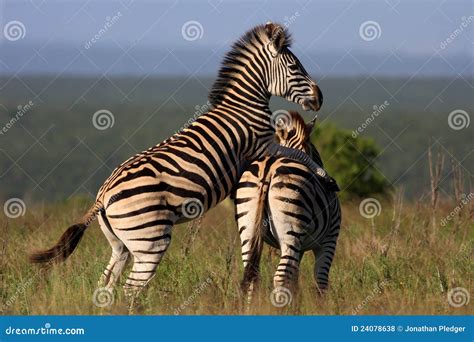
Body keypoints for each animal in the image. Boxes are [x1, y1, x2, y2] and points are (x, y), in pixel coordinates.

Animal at [29, 22, 324, 304]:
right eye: (295, 67)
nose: (320, 97)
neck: (243, 107)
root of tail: (103, 194)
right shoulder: (262, 145)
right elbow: (298, 153)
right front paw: (323, 174)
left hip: (121, 245)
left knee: (106, 284)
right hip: (150, 240)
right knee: (129, 291)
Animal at [234, 111, 340, 304]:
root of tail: (268, 169)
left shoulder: (301, 248)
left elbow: (295, 280)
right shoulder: (330, 238)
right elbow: (320, 280)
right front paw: (321, 306)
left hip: (248, 227)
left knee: (253, 274)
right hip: (292, 228)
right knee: (281, 276)